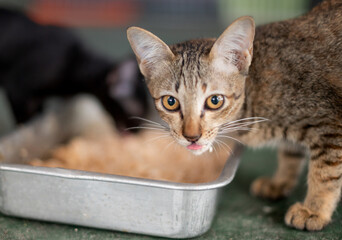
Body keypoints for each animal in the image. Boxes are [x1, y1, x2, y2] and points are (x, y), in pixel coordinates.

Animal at [0, 7, 146, 129]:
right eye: (138, 112)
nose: (138, 131)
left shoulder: (37, 100)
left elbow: (39, 113)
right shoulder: (17, 91)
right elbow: (23, 123)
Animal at [126, 0, 342, 232]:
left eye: (215, 100)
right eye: (170, 102)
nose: (192, 136)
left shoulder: (330, 125)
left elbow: (326, 171)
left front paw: (314, 209)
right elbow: (290, 152)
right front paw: (280, 181)